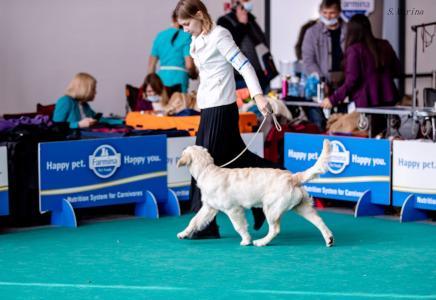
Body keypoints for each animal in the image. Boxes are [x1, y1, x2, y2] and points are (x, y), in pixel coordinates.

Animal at [175, 139, 332, 247]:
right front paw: (183, 233)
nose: (182, 147)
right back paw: (329, 239)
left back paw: (261, 242)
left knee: (275, 229)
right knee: (320, 222)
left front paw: (246, 240)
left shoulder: (233, 209)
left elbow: (239, 226)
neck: (207, 170)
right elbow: (194, 220)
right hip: (302, 207)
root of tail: (293, 177)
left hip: (271, 208)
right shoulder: (209, 207)